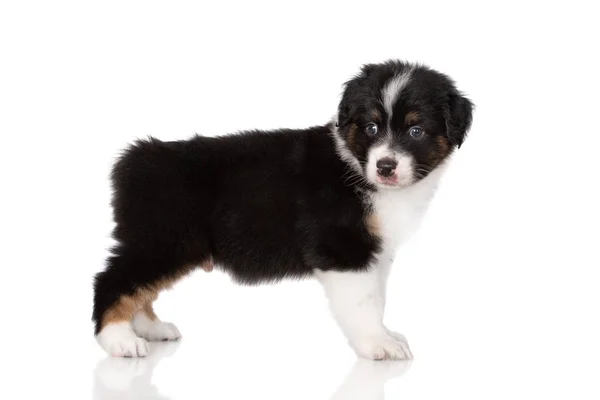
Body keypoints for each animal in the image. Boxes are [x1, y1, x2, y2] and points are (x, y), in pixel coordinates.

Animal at [92, 59, 474, 360]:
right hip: (165, 239)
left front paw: (386, 335)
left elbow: (377, 299)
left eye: (415, 130)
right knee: (113, 280)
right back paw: (120, 340)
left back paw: (150, 329)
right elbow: (364, 303)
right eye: (371, 127)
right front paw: (377, 345)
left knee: (139, 288)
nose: (385, 167)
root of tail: (136, 158)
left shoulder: (375, 253)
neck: (356, 167)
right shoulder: (344, 250)